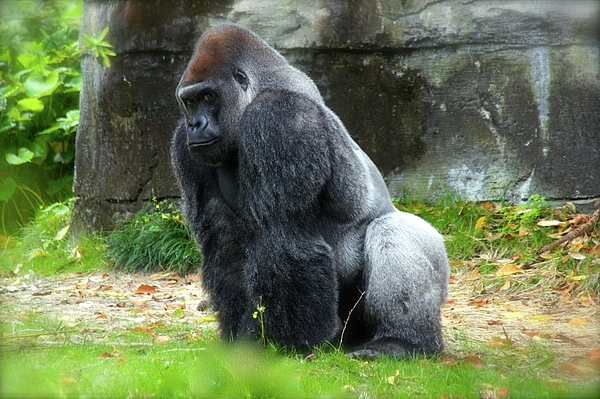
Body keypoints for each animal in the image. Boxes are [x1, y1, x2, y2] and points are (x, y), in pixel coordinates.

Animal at [170, 23, 450, 358]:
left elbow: (286, 236)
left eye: (208, 96)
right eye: (189, 102)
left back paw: (405, 340)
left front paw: (292, 342)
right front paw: (243, 338)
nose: (194, 125)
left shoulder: (280, 117)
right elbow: (226, 244)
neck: (255, 92)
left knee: (392, 228)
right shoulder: (187, 148)